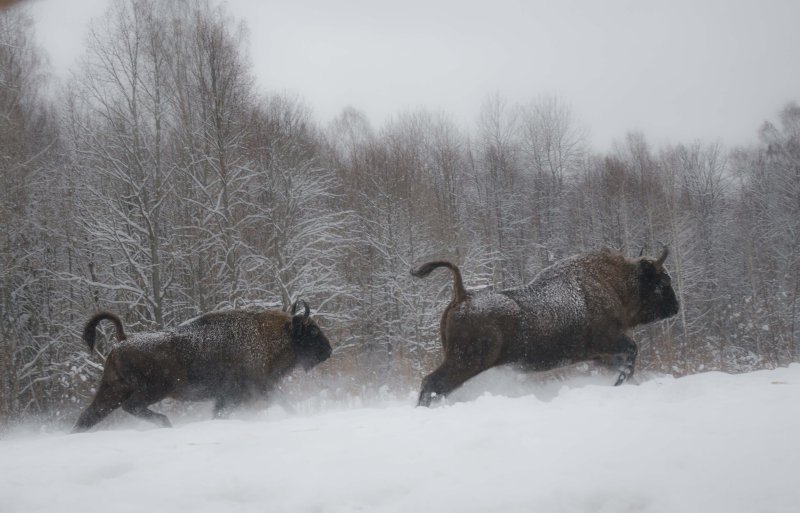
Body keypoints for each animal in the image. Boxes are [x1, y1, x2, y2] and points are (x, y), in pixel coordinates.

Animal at [73, 300, 332, 432]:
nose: (328, 350)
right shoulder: (253, 390)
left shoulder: (231, 396)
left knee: (89, 416)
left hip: (112, 391)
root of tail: (122, 341)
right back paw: (166, 423)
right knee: (131, 406)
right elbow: (285, 403)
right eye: (312, 330)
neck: (272, 336)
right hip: (155, 389)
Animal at [412, 246, 680, 406]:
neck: (614, 284)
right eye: (662, 282)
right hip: (465, 362)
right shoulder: (611, 342)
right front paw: (619, 383)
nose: (676, 307)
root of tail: (463, 295)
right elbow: (631, 353)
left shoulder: (602, 354)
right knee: (433, 384)